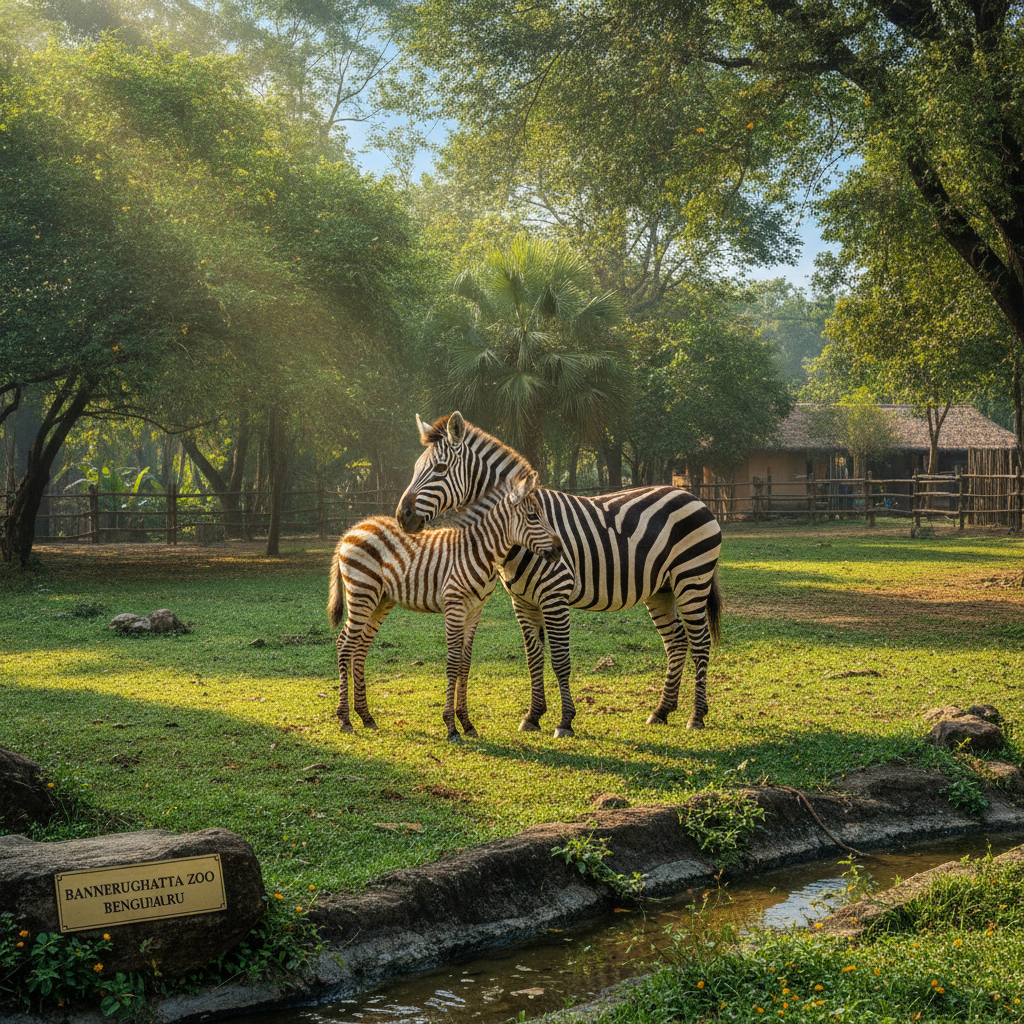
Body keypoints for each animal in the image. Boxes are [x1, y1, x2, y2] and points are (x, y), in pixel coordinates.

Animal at [328, 470, 565, 741]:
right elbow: (452, 663)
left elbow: (465, 663)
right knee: (344, 644)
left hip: (380, 600)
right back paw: (345, 720)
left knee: (359, 648)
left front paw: (467, 723)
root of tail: (352, 530)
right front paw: (451, 727)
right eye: (533, 516)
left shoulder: (474, 611)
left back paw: (366, 717)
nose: (560, 549)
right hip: (361, 593)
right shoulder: (454, 607)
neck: (480, 551)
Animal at [396, 412, 722, 738]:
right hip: (661, 589)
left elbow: (560, 660)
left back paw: (696, 716)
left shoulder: (555, 596)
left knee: (700, 642)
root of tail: (691, 495)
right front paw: (533, 716)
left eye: (439, 469)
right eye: (414, 469)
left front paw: (565, 721)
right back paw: (662, 711)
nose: (402, 517)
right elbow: (533, 659)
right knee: (676, 641)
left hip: (691, 579)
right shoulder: (522, 601)